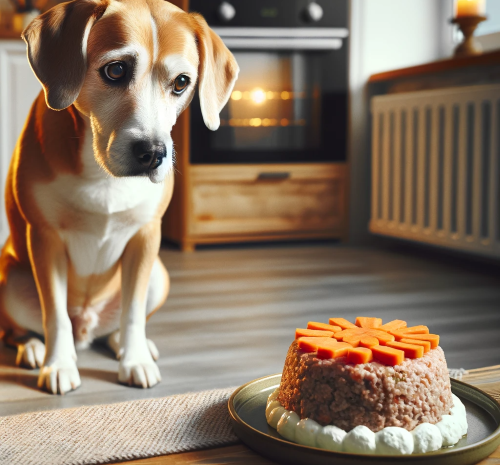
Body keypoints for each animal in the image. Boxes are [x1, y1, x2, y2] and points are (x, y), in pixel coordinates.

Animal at [0, 0, 240, 394]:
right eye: (115, 70)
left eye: (181, 82)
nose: (154, 153)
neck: (103, 173)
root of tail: (87, 326)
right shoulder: (45, 238)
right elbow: (54, 314)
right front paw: (58, 364)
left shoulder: (146, 236)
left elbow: (133, 311)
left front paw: (135, 359)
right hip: (10, 281)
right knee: (17, 329)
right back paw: (33, 348)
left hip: (159, 275)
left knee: (120, 321)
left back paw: (128, 345)